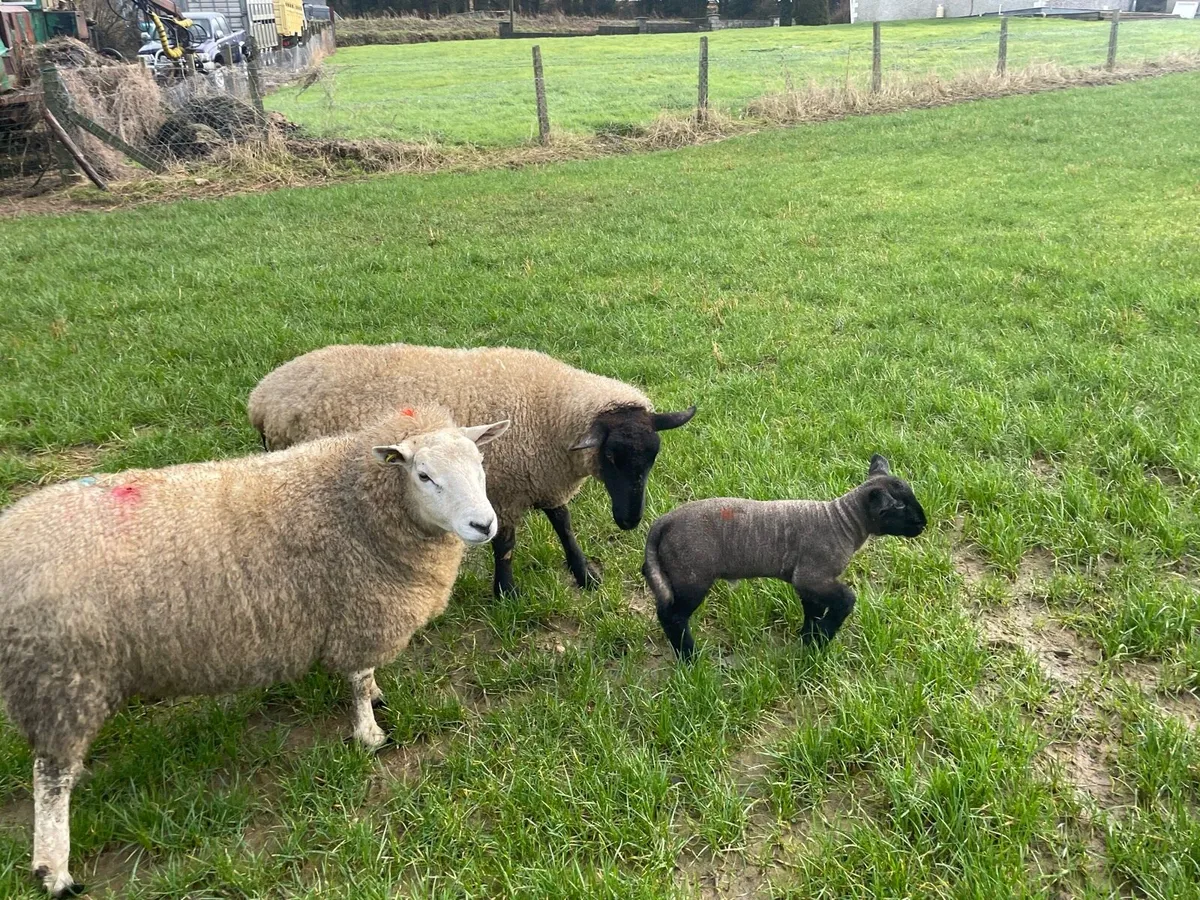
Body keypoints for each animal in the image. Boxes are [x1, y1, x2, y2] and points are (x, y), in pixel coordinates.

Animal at [0, 405, 509, 898]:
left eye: (481, 464)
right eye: (423, 475)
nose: (484, 524)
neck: (355, 504)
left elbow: (364, 679)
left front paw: (377, 699)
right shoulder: (359, 609)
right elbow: (358, 679)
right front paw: (370, 734)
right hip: (62, 677)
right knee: (50, 778)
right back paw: (54, 872)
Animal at [248, 344, 696, 598]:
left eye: (651, 458)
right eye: (612, 458)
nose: (629, 521)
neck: (550, 414)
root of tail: (262, 396)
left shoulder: (545, 479)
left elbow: (563, 524)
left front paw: (584, 575)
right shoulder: (506, 489)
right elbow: (505, 544)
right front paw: (506, 593)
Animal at [642, 455, 927, 660]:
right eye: (900, 508)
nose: (923, 523)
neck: (843, 521)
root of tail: (664, 521)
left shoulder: (807, 583)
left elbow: (812, 613)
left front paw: (808, 640)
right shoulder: (812, 577)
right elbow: (846, 600)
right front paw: (821, 642)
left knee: (665, 610)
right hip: (692, 577)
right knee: (672, 617)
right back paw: (690, 658)